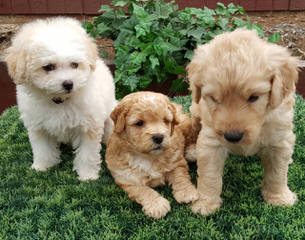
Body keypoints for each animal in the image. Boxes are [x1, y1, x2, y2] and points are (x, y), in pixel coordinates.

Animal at [5, 16, 116, 180]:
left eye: (74, 64)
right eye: (48, 67)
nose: (69, 83)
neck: (60, 100)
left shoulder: (89, 125)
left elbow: (87, 154)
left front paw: (88, 176)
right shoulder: (38, 125)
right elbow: (43, 149)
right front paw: (42, 166)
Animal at [186, 28, 298, 216]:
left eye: (254, 97)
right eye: (214, 98)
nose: (233, 136)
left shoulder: (279, 139)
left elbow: (277, 173)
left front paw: (279, 197)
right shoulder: (211, 140)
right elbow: (209, 175)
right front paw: (206, 203)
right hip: (195, 111)